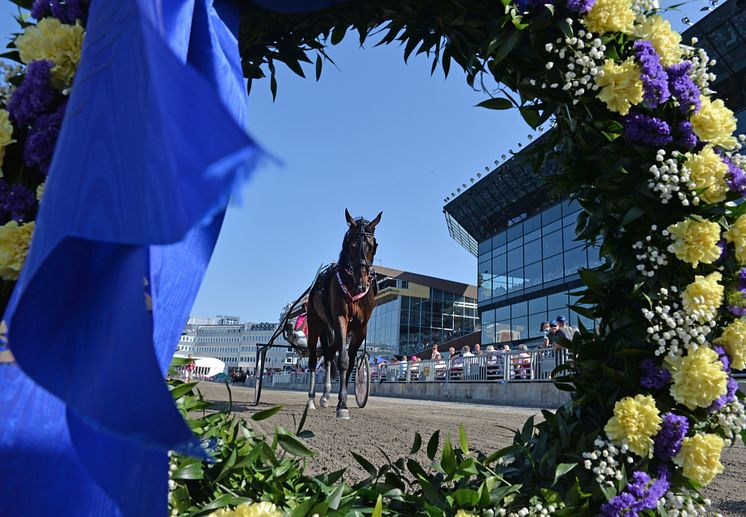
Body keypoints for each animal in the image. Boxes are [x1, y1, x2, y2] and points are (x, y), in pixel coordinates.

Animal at [306, 208, 380, 418]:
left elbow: (350, 363)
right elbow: (344, 360)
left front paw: (342, 401)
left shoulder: (360, 327)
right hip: (315, 324)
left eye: (373, 246)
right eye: (352, 245)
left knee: (329, 355)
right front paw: (342, 406)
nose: (362, 282)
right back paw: (312, 399)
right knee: (314, 360)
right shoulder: (341, 318)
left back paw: (325, 396)